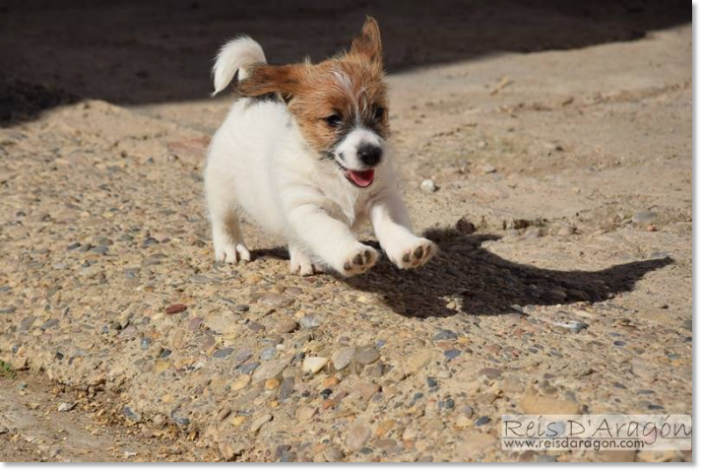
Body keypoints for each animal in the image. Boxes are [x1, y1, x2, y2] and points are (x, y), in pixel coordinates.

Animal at [205, 17, 434, 276]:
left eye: (378, 112)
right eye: (332, 119)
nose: (372, 154)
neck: (336, 177)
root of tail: (252, 100)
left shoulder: (383, 197)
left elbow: (393, 225)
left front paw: (409, 247)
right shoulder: (307, 209)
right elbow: (332, 231)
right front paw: (353, 253)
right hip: (221, 188)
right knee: (224, 220)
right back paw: (231, 248)